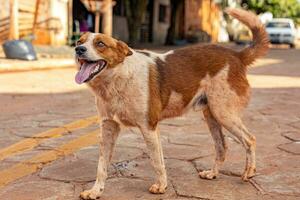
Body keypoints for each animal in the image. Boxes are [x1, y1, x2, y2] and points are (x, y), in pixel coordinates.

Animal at [75, 8, 270, 200]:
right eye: (80, 41)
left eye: (100, 44)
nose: (78, 49)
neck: (117, 79)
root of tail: (236, 55)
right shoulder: (109, 127)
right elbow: (101, 166)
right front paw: (95, 191)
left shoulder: (149, 127)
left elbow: (156, 161)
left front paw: (161, 186)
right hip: (212, 115)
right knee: (222, 147)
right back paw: (212, 174)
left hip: (223, 113)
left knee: (250, 139)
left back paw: (249, 172)